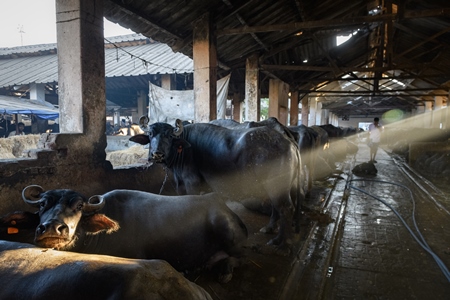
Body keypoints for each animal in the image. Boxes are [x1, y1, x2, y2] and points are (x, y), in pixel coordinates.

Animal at [1, 186, 248, 282]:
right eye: (42, 204)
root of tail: (222, 206)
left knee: (237, 257)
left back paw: (224, 271)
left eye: (79, 206)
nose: (52, 228)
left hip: (229, 233)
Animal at [132, 116, 304, 252]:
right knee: (280, 207)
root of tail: (289, 142)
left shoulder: (192, 183)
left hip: (275, 185)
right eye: (150, 134)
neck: (183, 151)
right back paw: (270, 230)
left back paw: (283, 245)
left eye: (169, 136)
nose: (157, 154)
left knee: (286, 208)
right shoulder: (180, 186)